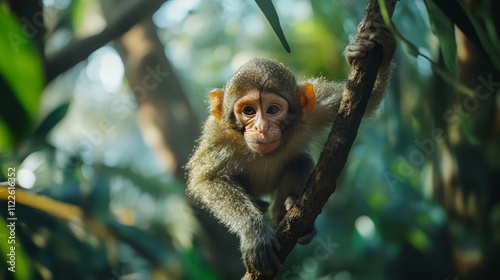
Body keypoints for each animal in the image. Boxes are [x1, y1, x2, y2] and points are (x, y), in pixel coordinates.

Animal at [184, 19, 394, 276]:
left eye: (273, 110)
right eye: (249, 111)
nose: (262, 127)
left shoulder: (315, 108)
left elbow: (366, 102)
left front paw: (380, 50)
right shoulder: (218, 134)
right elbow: (205, 179)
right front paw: (254, 232)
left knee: (300, 160)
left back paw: (287, 209)